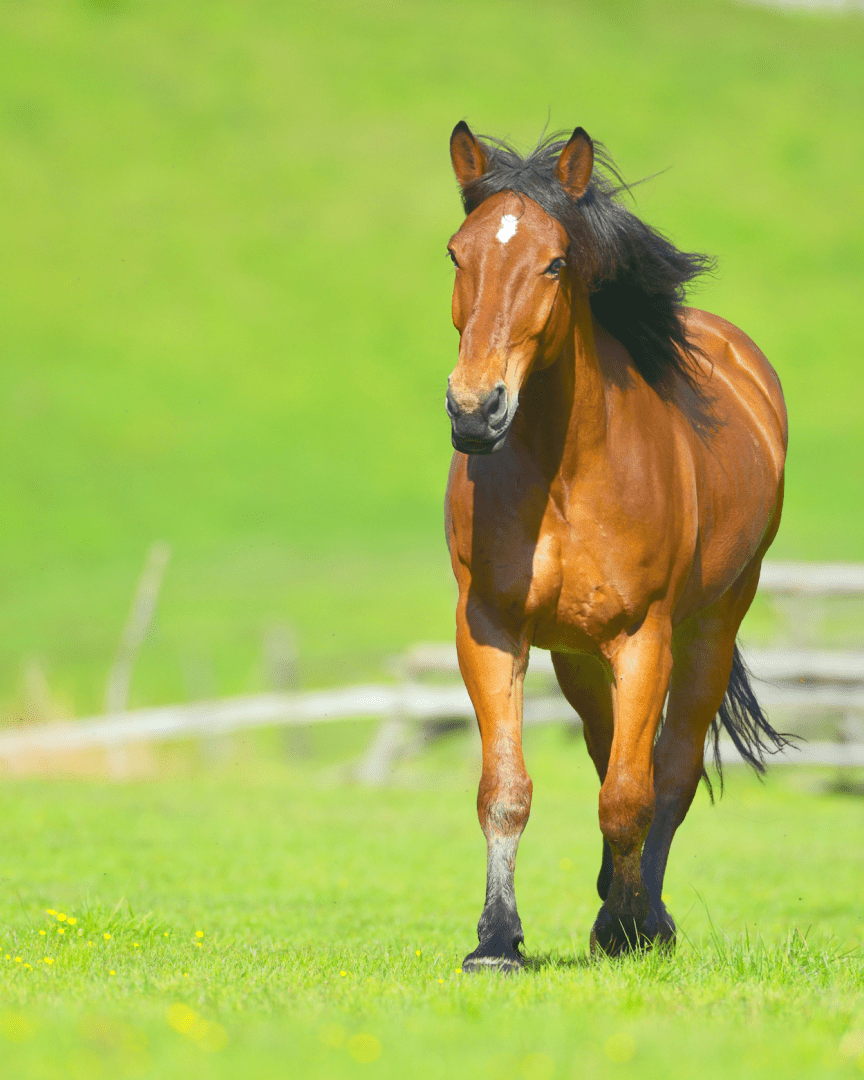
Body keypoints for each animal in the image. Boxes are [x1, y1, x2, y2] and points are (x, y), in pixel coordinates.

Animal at [444, 122, 790, 967]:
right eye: (457, 254)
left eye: (555, 262)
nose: (474, 409)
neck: (562, 474)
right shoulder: (491, 627)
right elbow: (505, 790)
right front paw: (496, 939)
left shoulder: (644, 636)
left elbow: (635, 792)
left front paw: (629, 925)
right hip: (576, 652)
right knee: (610, 750)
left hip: (710, 625)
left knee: (672, 766)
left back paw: (644, 911)